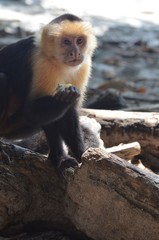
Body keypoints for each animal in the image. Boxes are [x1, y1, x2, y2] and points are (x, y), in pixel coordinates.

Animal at [0, 13, 97, 171]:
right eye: (66, 42)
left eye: (79, 41)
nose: (76, 53)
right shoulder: (42, 63)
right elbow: (32, 111)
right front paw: (65, 97)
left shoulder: (84, 65)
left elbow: (69, 112)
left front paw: (81, 155)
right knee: (2, 79)